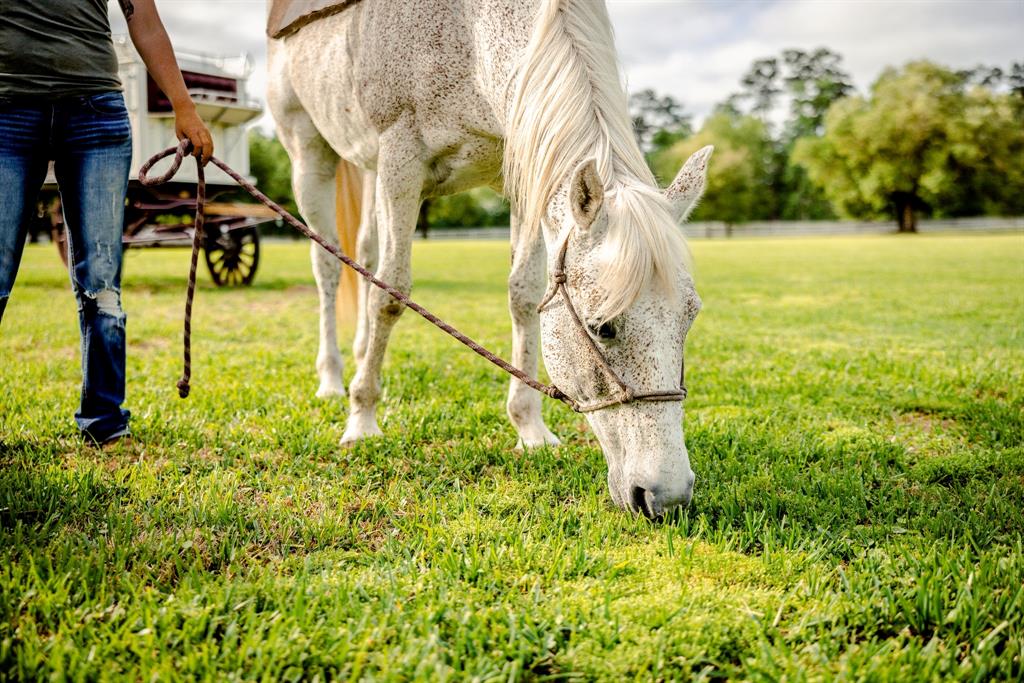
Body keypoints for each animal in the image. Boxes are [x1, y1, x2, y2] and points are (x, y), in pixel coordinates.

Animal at [268, 0, 708, 518]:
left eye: (689, 319)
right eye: (603, 328)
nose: (667, 496)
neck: (469, 33)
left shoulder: (523, 170)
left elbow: (524, 296)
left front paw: (529, 427)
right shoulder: (400, 160)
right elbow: (391, 295)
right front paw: (363, 418)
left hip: (367, 169)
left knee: (364, 255)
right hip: (310, 154)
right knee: (330, 267)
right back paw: (334, 379)